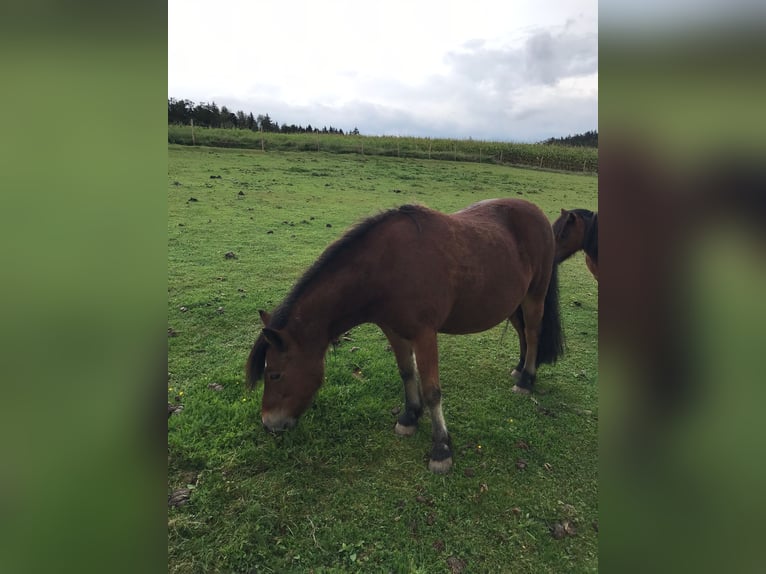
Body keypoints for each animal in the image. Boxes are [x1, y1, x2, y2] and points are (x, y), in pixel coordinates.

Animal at [246, 200, 564, 474]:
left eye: (274, 375)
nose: (268, 424)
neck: (386, 267)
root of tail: (536, 212)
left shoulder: (425, 335)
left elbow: (433, 391)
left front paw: (441, 448)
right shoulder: (394, 330)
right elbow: (406, 373)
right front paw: (410, 416)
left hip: (534, 295)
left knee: (533, 332)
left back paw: (526, 379)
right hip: (512, 301)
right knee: (522, 332)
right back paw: (520, 368)